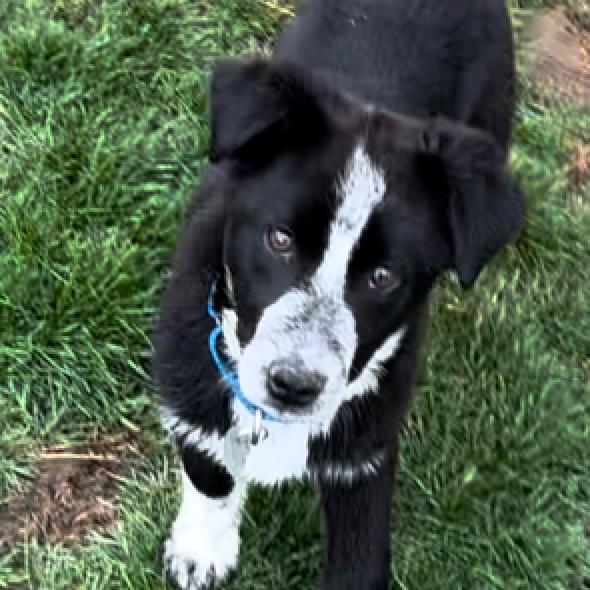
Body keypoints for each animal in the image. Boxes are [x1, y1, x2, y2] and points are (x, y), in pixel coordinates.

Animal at [154, 2, 528, 588]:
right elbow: (210, 468)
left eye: (383, 276)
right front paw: (201, 549)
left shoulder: (365, 446)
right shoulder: (191, 372)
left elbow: (360, 552)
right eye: (279, 239)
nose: (293, 386)